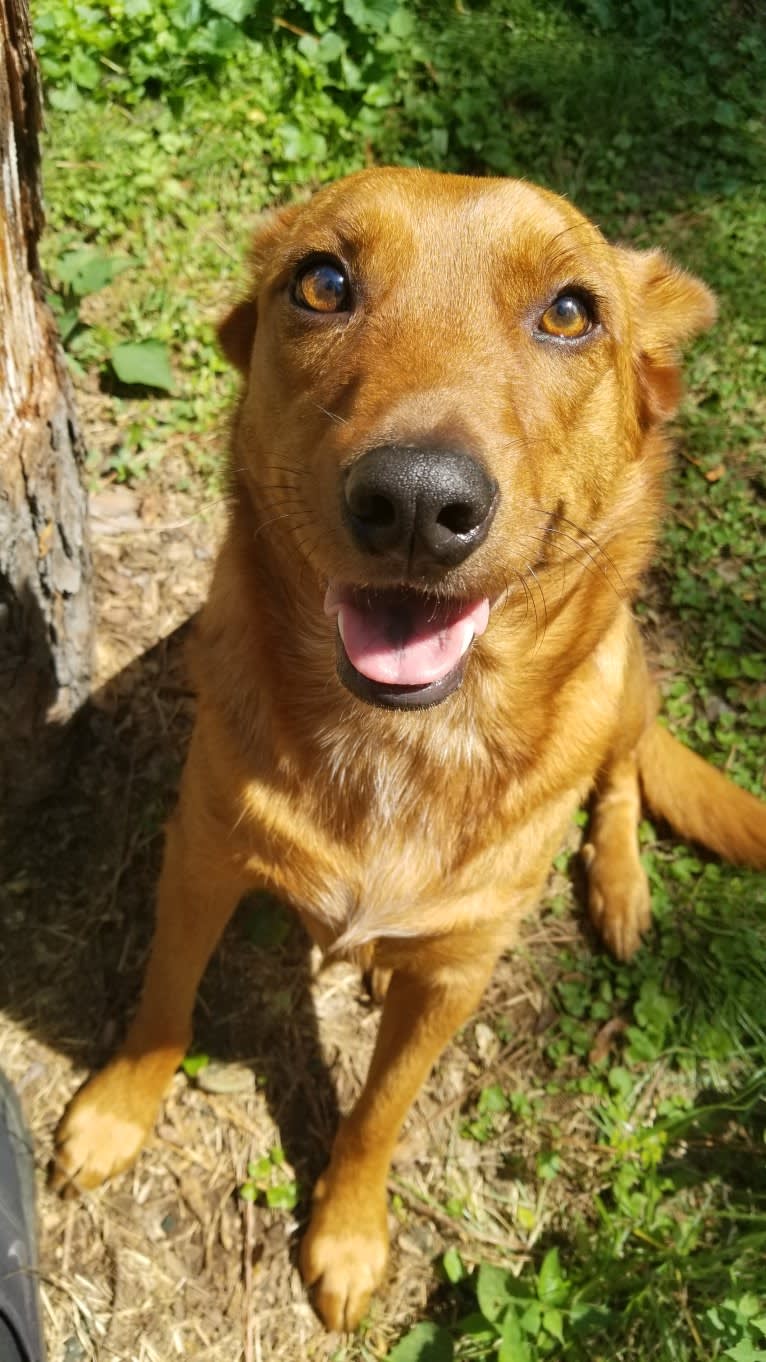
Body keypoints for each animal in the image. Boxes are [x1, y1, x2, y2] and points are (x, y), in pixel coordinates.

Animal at [53, 170, 763, 1329]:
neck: (403, 745)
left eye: (571, 311)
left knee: (619, 774)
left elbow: (381, 1109)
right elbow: (162, 1003)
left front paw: (346, 1231)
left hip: (619, 673)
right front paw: (120, 1111)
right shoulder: (199, 860)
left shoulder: (458, 975)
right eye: (323, 283)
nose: (418, 504)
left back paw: (616, 883)